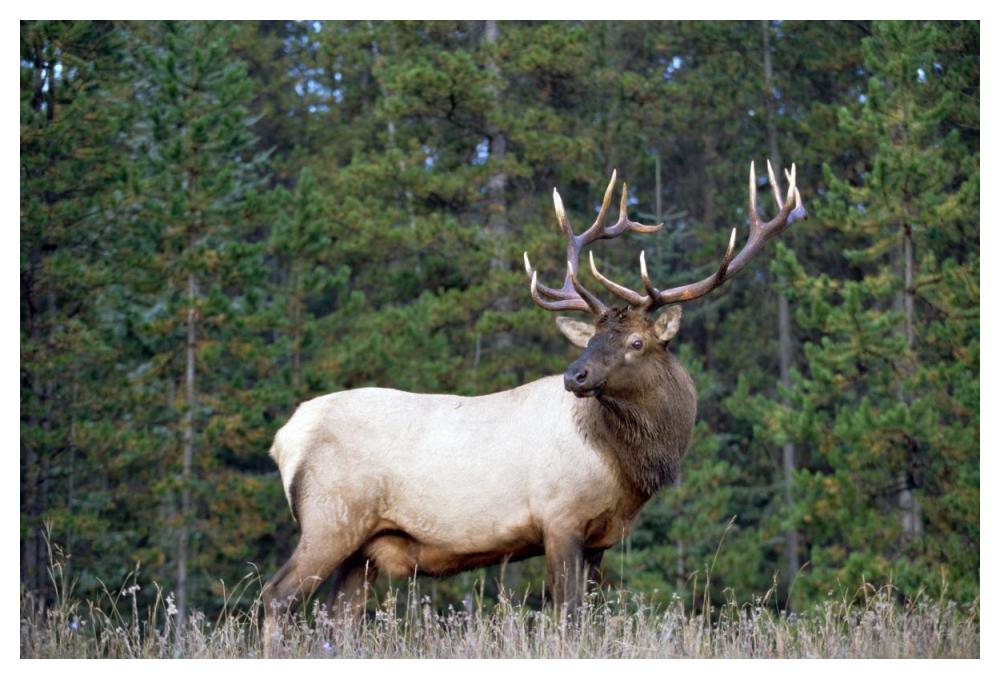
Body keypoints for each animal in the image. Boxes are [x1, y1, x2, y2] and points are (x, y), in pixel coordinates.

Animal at [262, 161, 805, 652]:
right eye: (593, 339)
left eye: (635, 342)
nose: (574, 376)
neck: (622, 465)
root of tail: (285, 438)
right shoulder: (559, 518)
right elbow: (567, 618)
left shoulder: (600, 540)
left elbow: (589, 618)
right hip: (330, 517)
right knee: (276, 597)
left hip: (365, 548)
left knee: (339, 621)